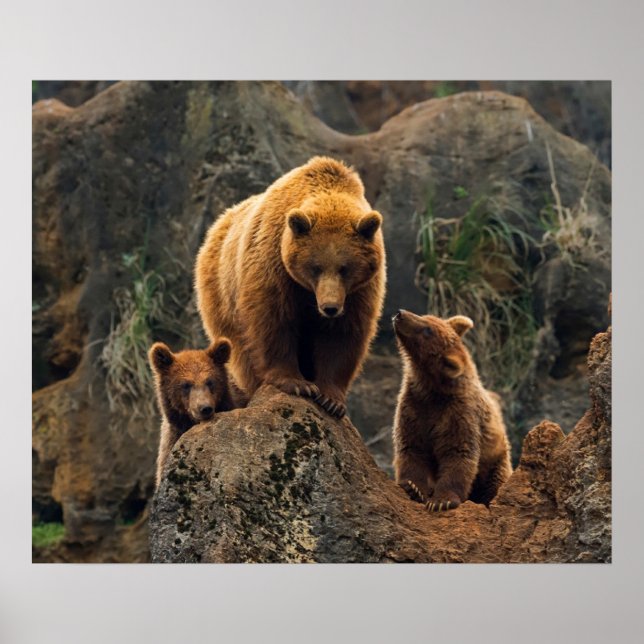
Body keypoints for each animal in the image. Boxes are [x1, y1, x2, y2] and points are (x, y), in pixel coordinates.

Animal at [195, 156, 386, 419]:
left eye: (345, 268)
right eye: (315, 267)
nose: (329, 307)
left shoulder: (359, 291)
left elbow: (343, 335)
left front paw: (331, 399)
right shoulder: (274, 265)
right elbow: (273, 321)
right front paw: (297, 384)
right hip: (221, 295)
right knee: (241, 350)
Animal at [391, 309, 512, 512]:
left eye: (427, 330)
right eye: (426, 317)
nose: (400, 314)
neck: (432, 390)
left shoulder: (458, 414)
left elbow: (457, 453)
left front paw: (442, 501)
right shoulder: (413, 407)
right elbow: (411, 447)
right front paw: (413, 488)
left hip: (496, 461)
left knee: (495, 484)